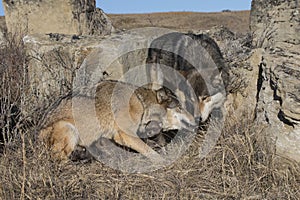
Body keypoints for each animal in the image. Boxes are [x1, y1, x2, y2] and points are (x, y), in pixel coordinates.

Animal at [39, 79, 195, 161]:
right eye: (180, 107)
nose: (196, 119)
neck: (141, 103)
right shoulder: (126, 135)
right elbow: (150, 151)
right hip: (69, 129)